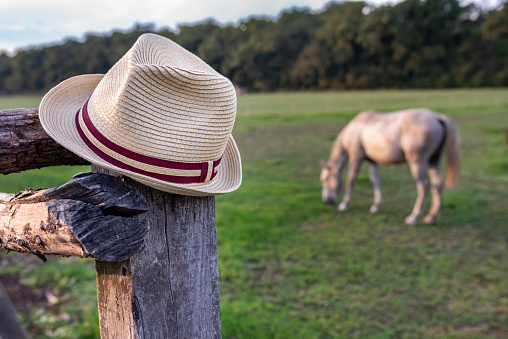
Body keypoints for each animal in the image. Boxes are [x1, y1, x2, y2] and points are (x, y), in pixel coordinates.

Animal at [322, 109, 460, 226]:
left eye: (324, 179)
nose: (326, 201)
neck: (354, 129)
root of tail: (437, 117)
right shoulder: (373, 161)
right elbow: (375, 181)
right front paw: (376, 207)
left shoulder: (356, 158)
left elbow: (351, 180)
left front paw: (344, 205)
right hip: (434, 161)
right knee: (437, 185)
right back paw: (431, 217)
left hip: (417, 163)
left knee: (424, 186)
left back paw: (413, 217)